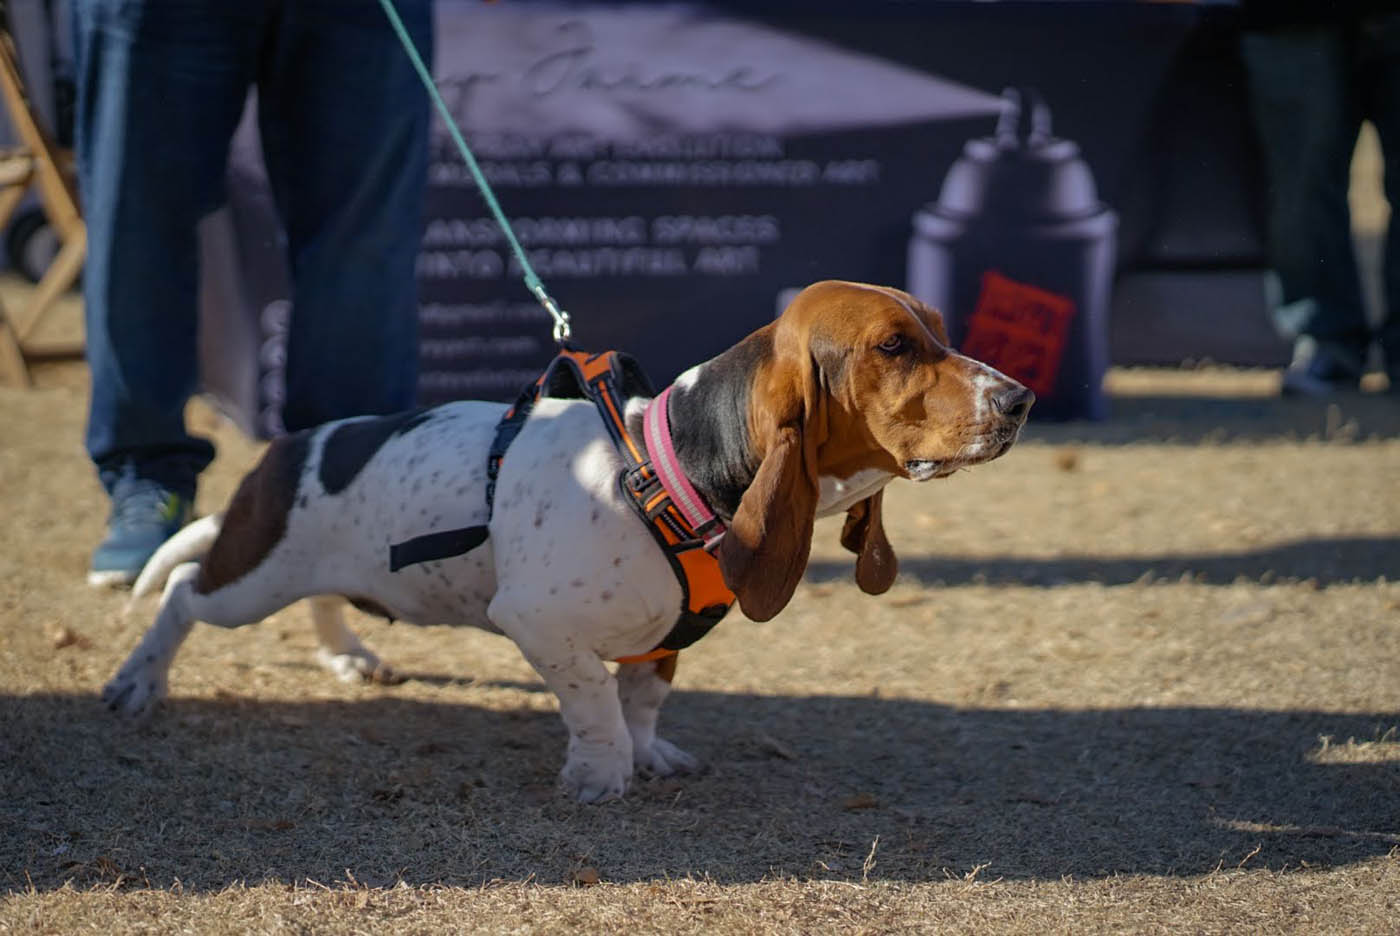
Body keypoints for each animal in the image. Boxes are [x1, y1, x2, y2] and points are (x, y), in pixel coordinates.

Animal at [106, 279, 1030, 805]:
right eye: (894, 346)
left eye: (940, 331)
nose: (1020, 399)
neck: (668, 465)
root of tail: (293, 445)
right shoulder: (539, 625)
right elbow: (595, 704)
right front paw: (603, 774)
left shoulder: (664, 643)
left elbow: (644, 699)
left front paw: (650, 753)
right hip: (249, 584)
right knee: (183, 591)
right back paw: (138, 682)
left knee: (324, 600)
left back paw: (348, 655)